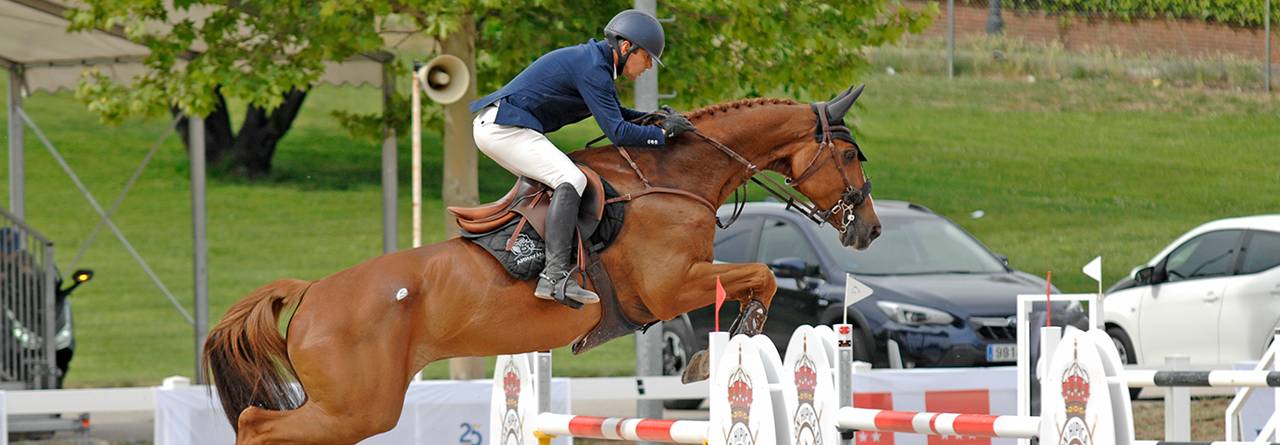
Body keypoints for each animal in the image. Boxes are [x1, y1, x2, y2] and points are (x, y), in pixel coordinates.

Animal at [202, 83, 880, 445]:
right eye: (849, 154)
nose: (869, 228)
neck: (673, 179)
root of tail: (312, 293)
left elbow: (755, 279)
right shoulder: (670, 288)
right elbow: (759, 278)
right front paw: (724, 349)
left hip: (352, 407)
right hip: (356, 407)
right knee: (258, 424)